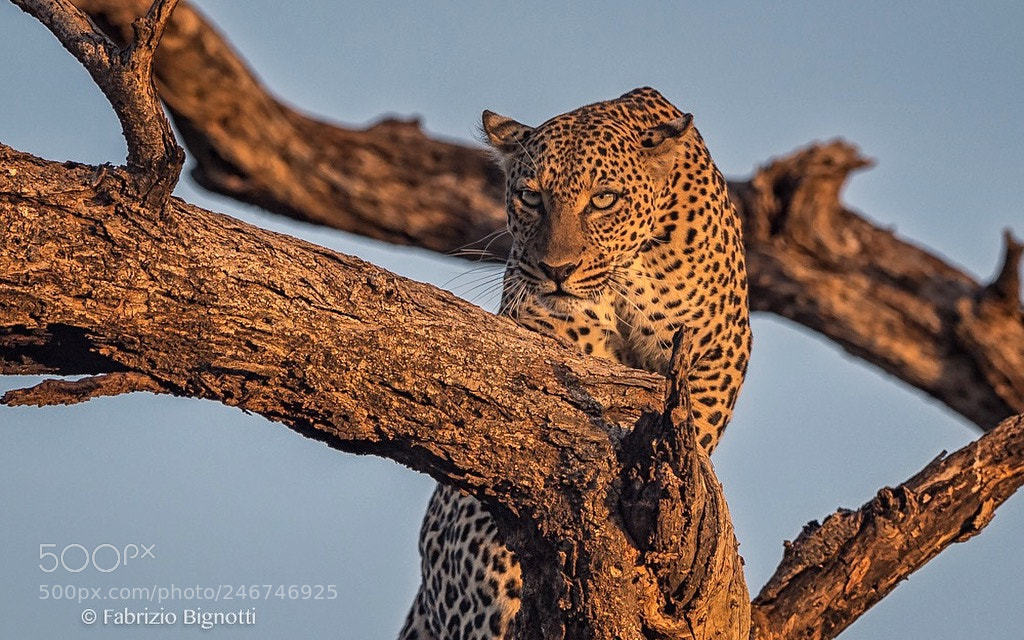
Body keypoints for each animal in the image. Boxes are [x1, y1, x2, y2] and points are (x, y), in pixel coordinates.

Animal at [397, 87, 751, 640]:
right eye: (531, 197)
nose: (556, 271)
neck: (632, 267)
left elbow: (696, 423)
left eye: (603, 199)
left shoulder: (720, 346)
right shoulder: (549, 337)